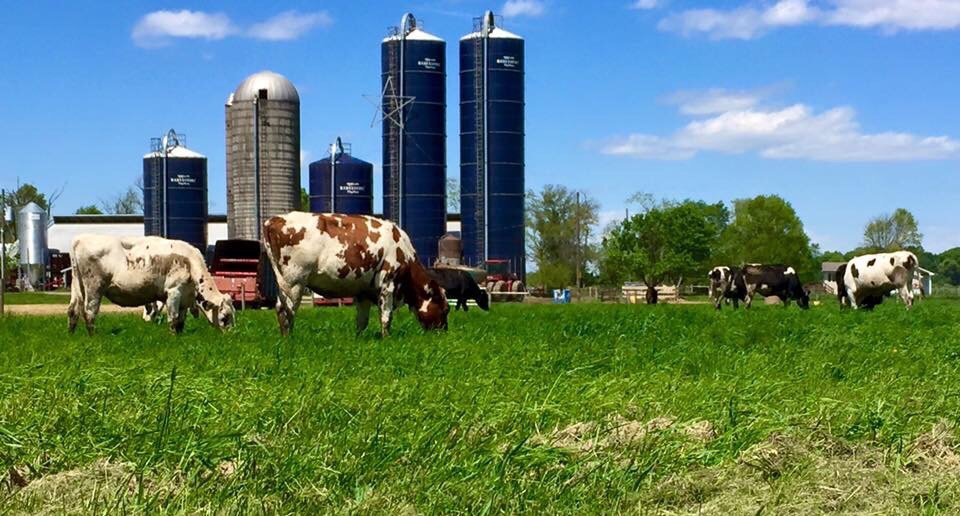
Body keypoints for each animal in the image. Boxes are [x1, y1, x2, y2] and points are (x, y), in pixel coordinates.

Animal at [68, 235, 236, 334]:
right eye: (225, 316)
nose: (232, 334)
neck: (191, 264)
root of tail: (80, 238)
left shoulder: (184, 298)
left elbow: (181, 321)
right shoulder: (174, 292)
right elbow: (173, 318)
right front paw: (173, 337)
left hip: (77, 285)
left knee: (73, 310)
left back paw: (72, 335)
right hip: (94, 287)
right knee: (89, 312)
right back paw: (93, 336)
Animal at [262, 212, 450, 336]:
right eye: (446, 309)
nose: (444, 333)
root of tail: (274, 219)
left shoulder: (364, 292)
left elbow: (362, 321)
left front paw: (359, 339)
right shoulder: (388, 285)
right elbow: (386, 317)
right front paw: (387, 338)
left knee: (281, 308)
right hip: (294, 282)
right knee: (286, 310)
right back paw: (290, 339)